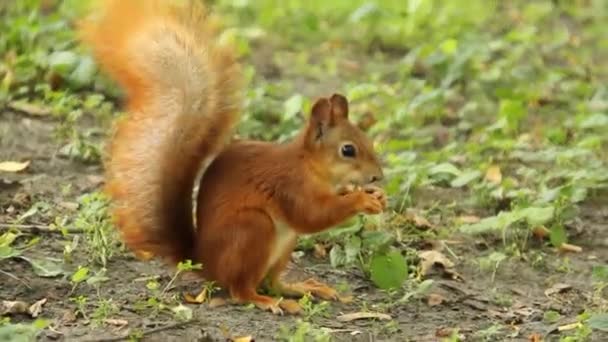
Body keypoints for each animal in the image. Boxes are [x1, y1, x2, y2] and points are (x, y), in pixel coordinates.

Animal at [79, 0, 384, 316]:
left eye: (367, 139)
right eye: (348, 150)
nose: (377, 176)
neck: (311, 166)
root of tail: (204, 262)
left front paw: (374, 195)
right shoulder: (290, 186)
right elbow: (311, 216)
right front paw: (362, 200)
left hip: (282, 246)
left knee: (273, 282)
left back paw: (302, 288)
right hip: (253, 229)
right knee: (241, 290)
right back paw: (267, 301)